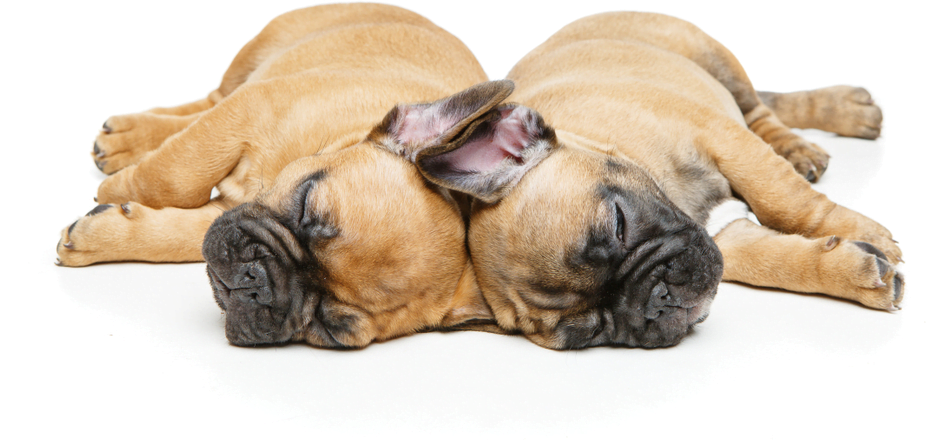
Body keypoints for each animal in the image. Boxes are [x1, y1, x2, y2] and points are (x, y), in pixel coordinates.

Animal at [404, 12, 900, 348]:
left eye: (618, 223)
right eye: (589, 331)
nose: (656, 301)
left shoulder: (721, 137)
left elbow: (784, 201)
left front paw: (863, 232)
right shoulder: (721, 239)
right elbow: (769, 260)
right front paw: (853, 273)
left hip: (710, 57)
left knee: (759, 106)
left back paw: (809, 139)